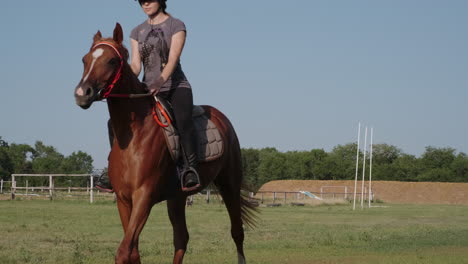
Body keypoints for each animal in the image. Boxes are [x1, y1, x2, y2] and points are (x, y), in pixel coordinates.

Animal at [74, 23, 256, 262]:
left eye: (112, 61)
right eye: (85, 60)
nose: (81, 93)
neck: (134, 136)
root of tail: (221, 118)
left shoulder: (144, 197)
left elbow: (123, 252)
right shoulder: (123, 200)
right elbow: (133, 251)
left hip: (229, 185)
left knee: (237, 232)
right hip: (177, 197)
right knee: (181, 238)